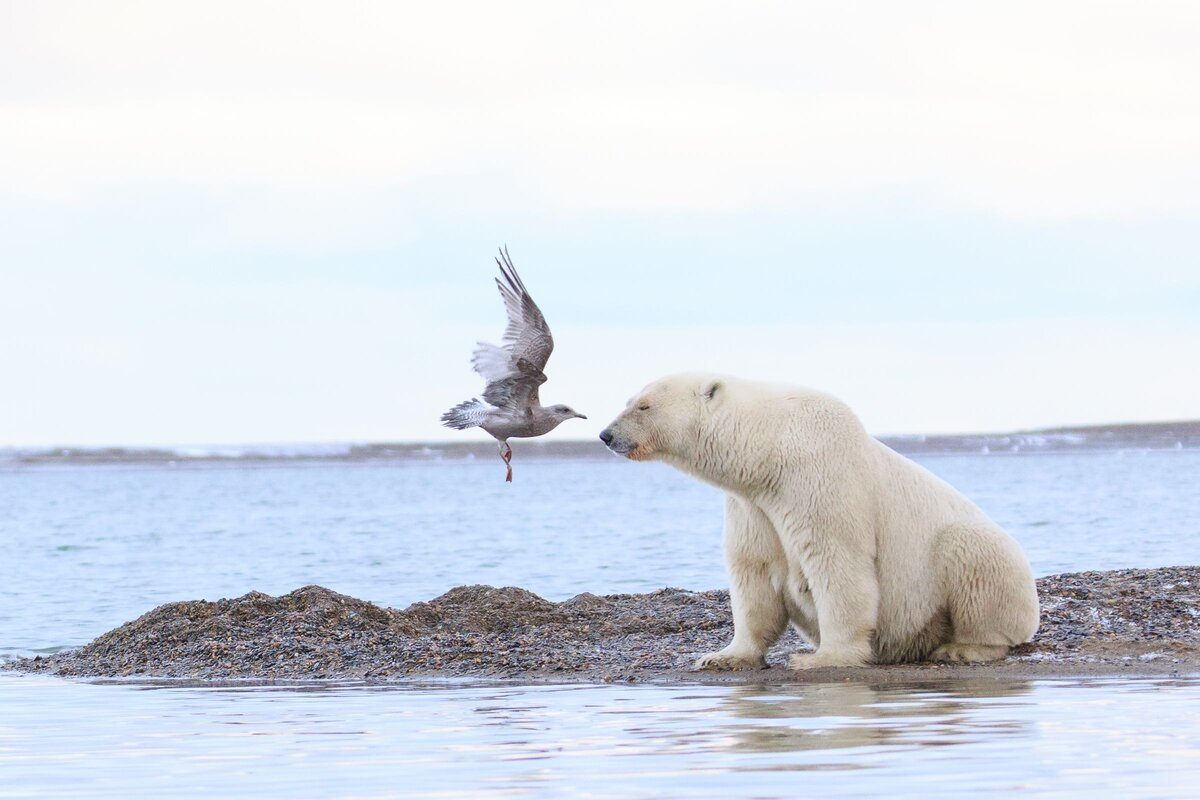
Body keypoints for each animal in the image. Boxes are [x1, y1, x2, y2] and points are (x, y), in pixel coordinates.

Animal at [600, 376, 1041, 671]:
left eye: (643, 406)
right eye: (629, 400)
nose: (606, 434)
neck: (768, 452)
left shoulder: (819, 477)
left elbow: (836, 563)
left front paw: (821, 658)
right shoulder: (752, 506)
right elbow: (754, 573)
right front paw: (721, 656)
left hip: (975, 556)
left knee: (973, 559)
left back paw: (962, 648)